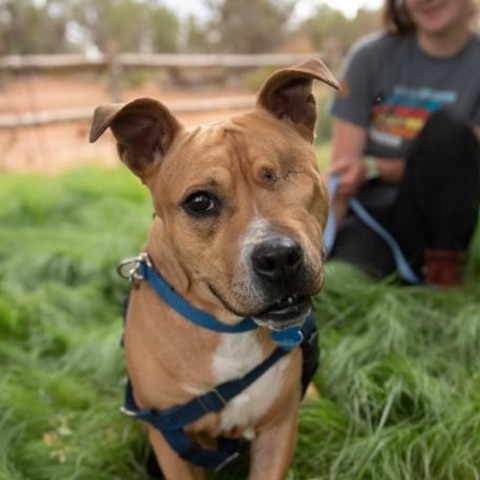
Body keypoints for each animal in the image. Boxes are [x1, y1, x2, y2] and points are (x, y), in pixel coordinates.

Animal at [89, 61, 338, 480]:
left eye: (286, 174)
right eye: (200, 201)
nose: (278, 257)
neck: (229, 329)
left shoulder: (278, 428)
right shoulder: (171, 442)